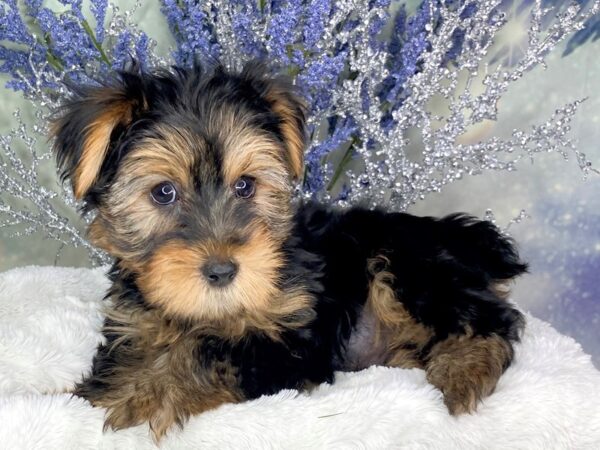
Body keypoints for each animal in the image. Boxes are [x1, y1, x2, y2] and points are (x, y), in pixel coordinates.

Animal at [50, 61, 524, 442]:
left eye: (246, 186)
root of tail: (470, 238)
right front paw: (98, 393)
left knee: (492, 322)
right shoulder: (134, 323)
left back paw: (462, 374)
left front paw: (147, 393)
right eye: (163, 192)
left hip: (409, 264)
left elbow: (209, 352)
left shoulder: (293, 337)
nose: (222, 271)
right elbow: (130, 357)